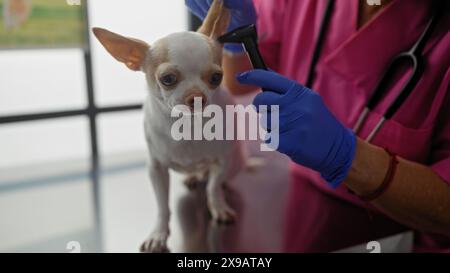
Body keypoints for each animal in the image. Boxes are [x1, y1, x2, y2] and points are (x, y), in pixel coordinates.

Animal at [92, 0, 246, 252]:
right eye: (167, 79)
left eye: (216, 77)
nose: (197, 97)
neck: (188, 126)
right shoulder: (156, 169)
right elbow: (162, 205)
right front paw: (159, 234)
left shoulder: (222, 160)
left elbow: (213, 187)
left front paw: (218, 206)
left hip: (235, 162)